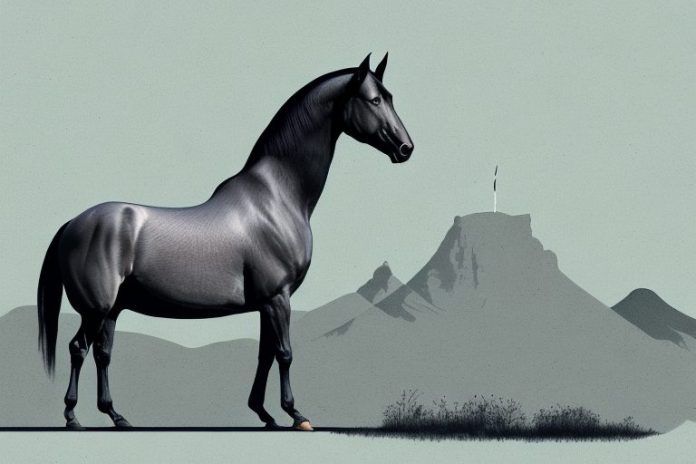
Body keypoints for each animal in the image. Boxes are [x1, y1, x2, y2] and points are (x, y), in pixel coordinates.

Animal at [36, 53, 414, 430]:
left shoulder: (267, 303)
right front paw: (296, 415)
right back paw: (72, 416)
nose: (405, 148)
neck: (276, 196)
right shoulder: (278, 298)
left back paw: (116, 416)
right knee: (78, 348)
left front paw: (264, 413)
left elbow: (265, 355)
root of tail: (73, 223)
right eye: (374, 100)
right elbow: (284, 354)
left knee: (102, 354)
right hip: (96, 309)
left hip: (112, 310)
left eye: (390, 97)